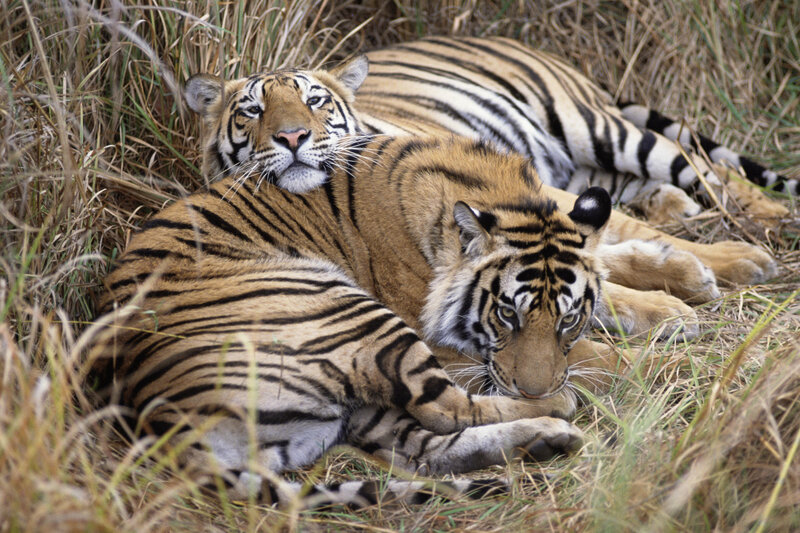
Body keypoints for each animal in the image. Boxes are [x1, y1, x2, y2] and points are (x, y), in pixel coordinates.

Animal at [356, 36, 793, 225]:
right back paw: (675, 206)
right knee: (628, 182)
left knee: (702, 164)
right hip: (579, 165)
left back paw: (772, 214)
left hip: (590, 126)